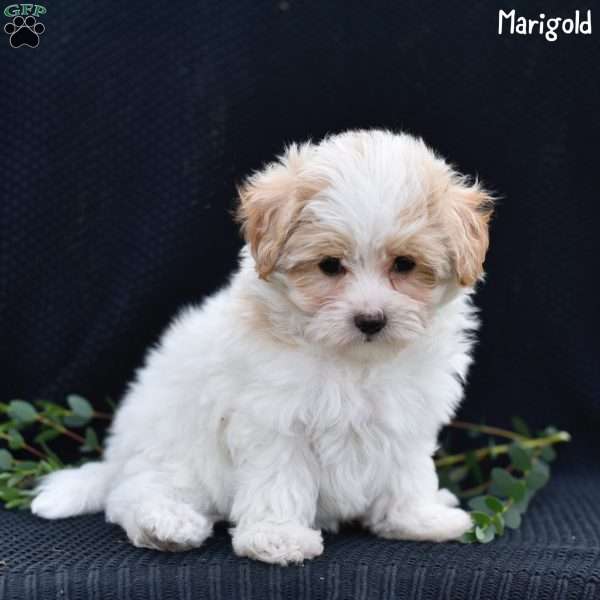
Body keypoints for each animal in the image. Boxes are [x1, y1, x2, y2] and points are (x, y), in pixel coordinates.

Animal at [30, 129, 494, 564]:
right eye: (330, 266)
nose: (370, 320)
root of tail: (118, 458)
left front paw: (418, 518)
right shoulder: (275, 419)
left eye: (404, 265)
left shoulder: (405, 416)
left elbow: (407, 472)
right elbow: (279, 480)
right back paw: (166, 524)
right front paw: (278, 537)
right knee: (134, 493)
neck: (353, 360)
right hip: (173, 449)